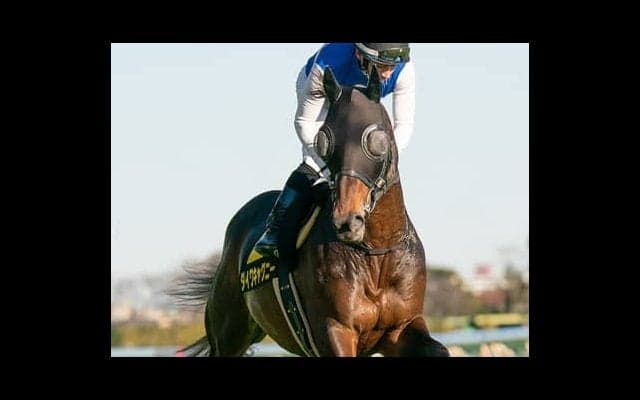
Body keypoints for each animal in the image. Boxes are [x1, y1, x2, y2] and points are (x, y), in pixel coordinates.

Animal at [170, 67, 449, 357]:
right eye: (324, 139)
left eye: (376, 140)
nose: (346, 221)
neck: (376, 252)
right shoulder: (334, 329)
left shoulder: (400, 327)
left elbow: (439, 349)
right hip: (228, 332)